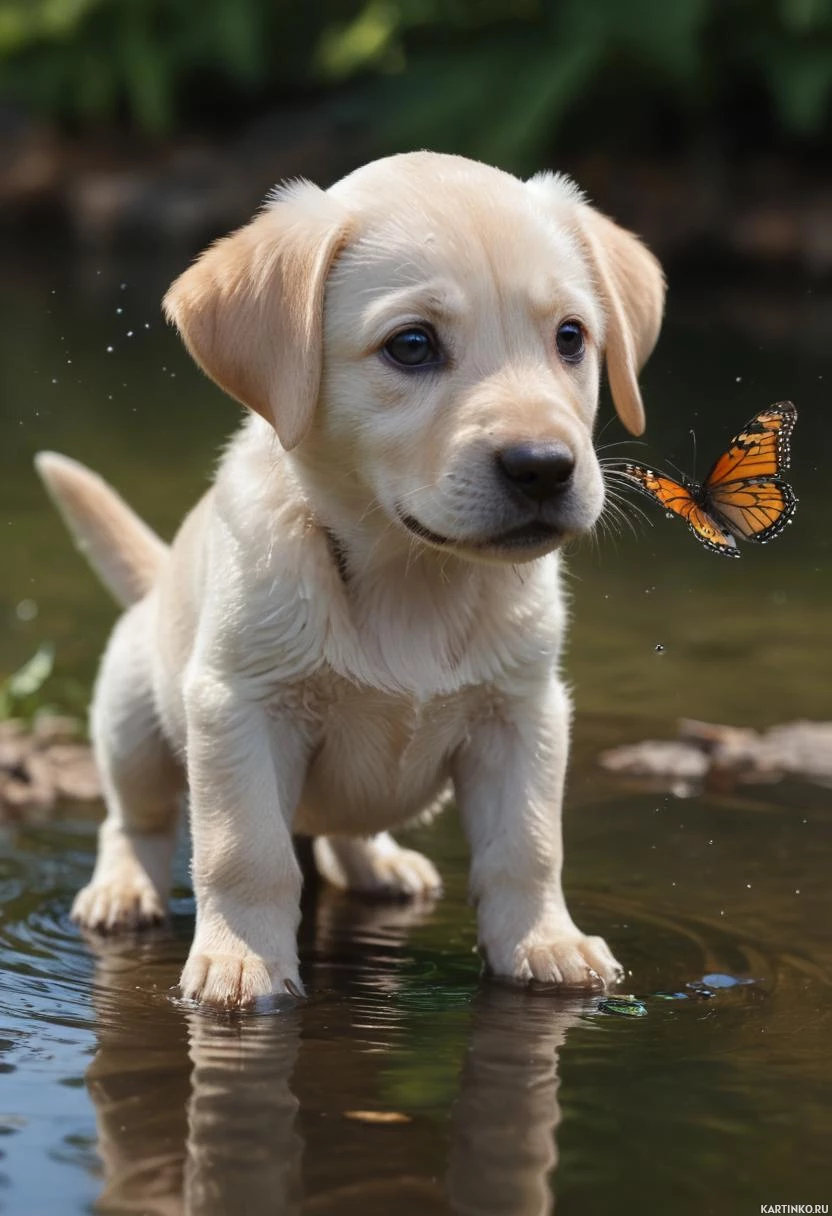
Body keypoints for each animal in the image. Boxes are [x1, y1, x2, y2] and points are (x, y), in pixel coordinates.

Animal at [37, 152, 661, 1006]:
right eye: (412, 345)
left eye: (571, 337)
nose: (543, 467)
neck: (413, 576)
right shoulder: (240, 705)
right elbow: (245, 853)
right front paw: (242, 962)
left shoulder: (524, 713)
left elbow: (527, 849)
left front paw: (546, 944)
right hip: (132, 717)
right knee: (136, 820)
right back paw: (123, 889)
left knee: (345, 832)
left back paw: (383, 864)